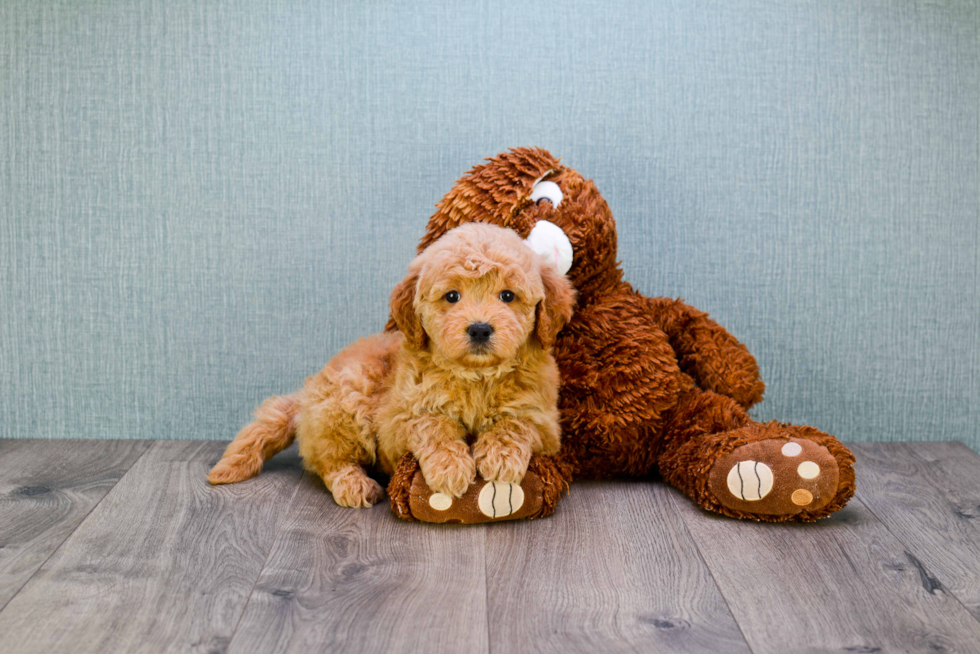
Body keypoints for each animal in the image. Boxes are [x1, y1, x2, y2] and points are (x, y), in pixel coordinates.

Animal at [207, 223, 576, 510]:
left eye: (508, 296)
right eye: (452, 296)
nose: (480, 329)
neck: (476, 376)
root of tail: (306, 393)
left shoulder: (545, 422)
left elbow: (515, 423)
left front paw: (500, 456)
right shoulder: (399, 420)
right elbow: (432, 424)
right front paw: (450, 466)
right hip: (343, 404)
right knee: (330, 460)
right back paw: (353, 484)